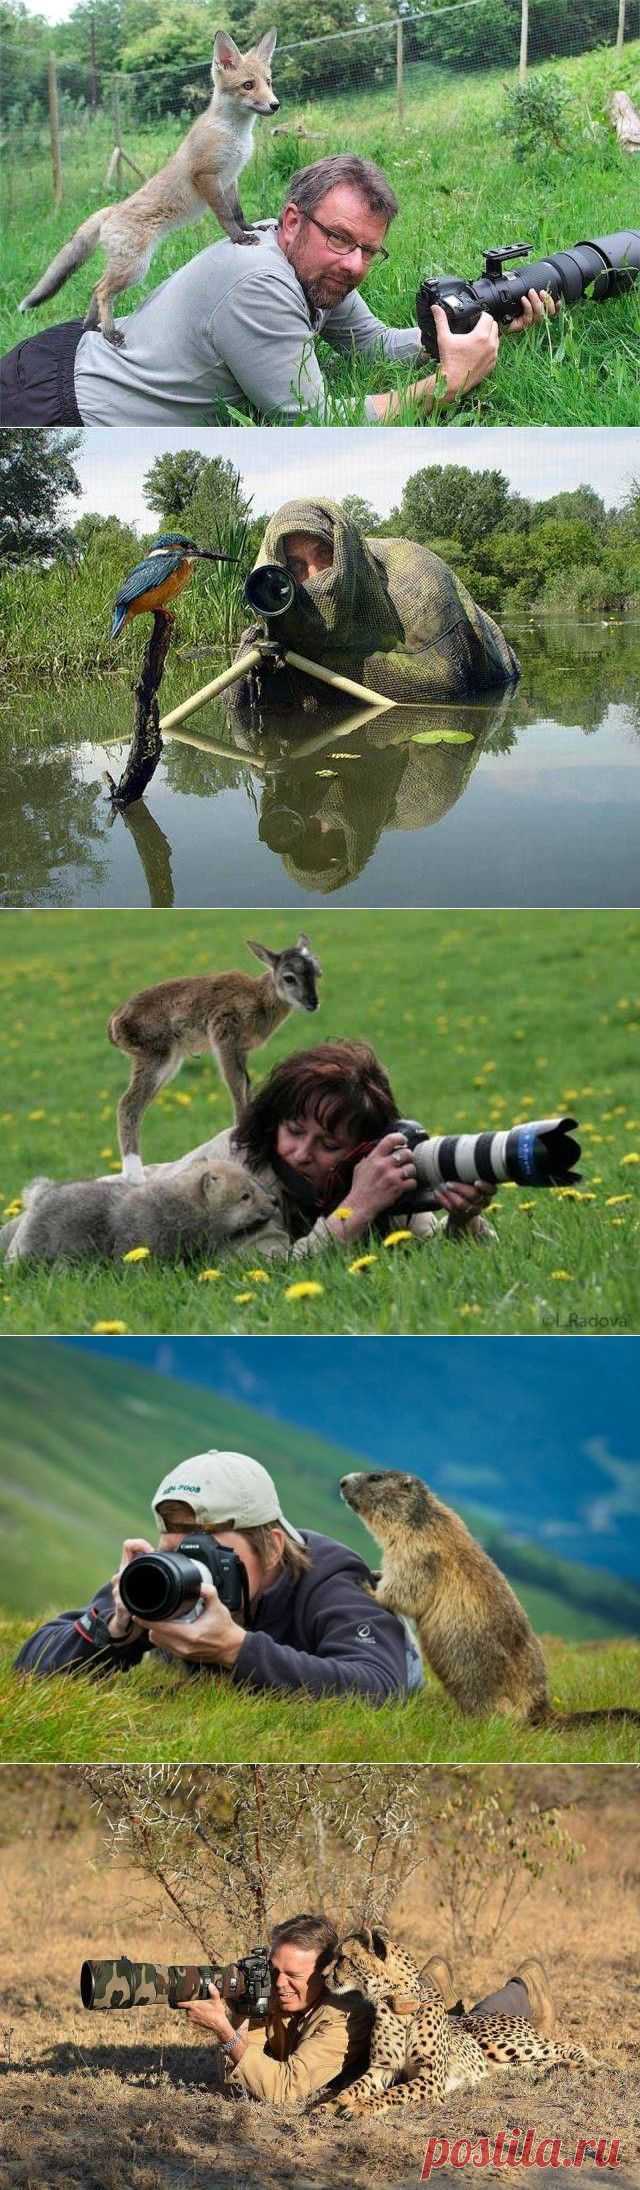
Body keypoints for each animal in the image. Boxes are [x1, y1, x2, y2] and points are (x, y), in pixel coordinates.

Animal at [322, 1935, 600, 2119]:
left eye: (343, 1958)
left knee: (567, 2044)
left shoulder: (431, 2079)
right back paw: (567, 2067)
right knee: (544, 2060)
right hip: (507, 2063)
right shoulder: (383, 2068)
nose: (324, 1976)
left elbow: (393, 2092)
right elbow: (355, 2086)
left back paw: (590, 2063)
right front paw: (332, 2103)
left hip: (500, 2043)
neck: (399, 2004)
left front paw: (360, 2106)